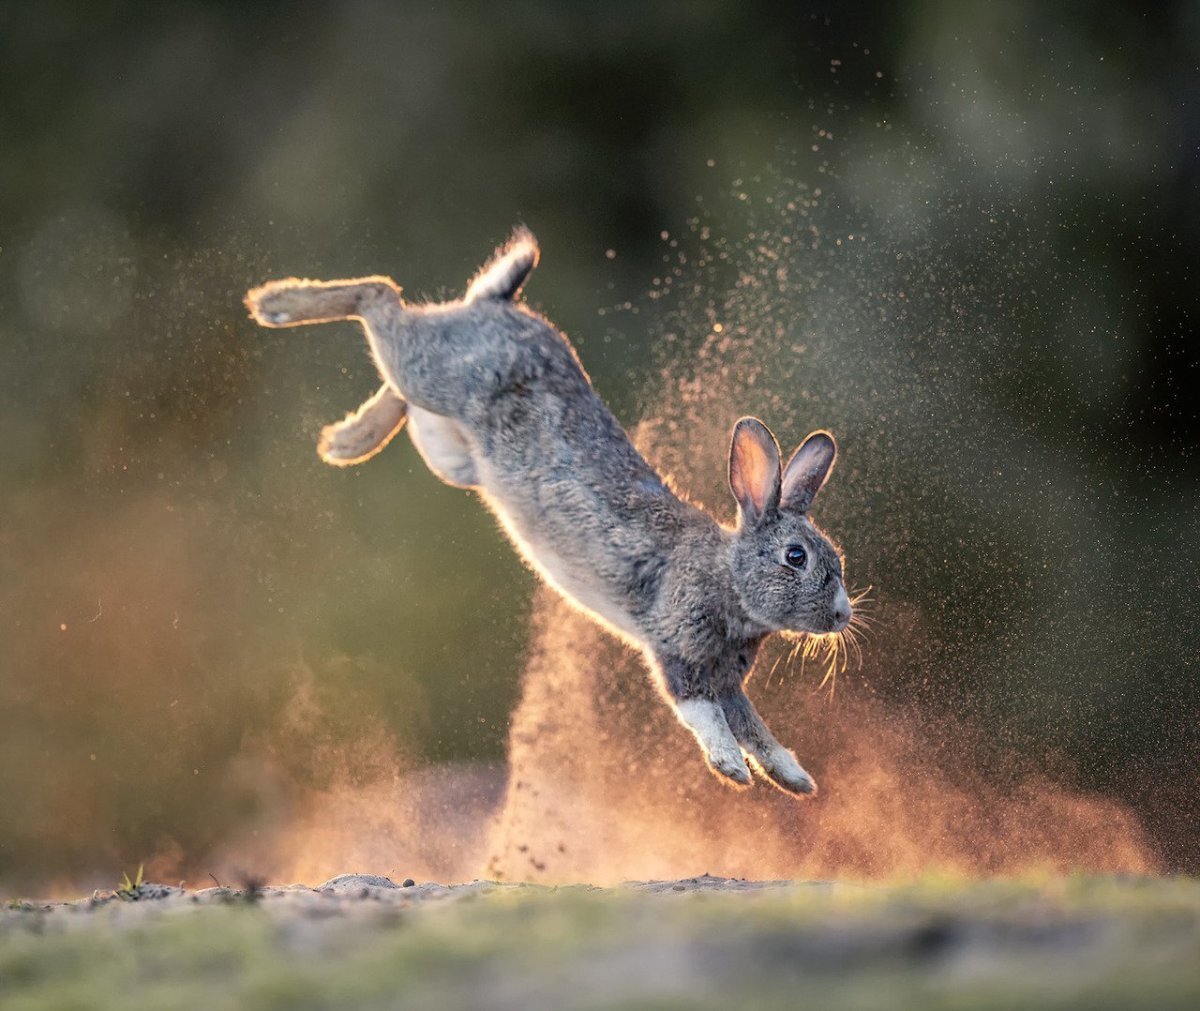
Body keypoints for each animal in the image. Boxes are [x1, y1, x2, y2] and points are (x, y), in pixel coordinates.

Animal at [243, 228, 849, 797]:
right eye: (796, 557)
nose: (843, 615)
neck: (728, 577)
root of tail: (500, 305)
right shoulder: (678, 651)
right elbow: (706, 716)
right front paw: (732, 770)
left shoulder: (727, 681)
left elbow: (756, 730)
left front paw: (795, 780)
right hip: (432, 373)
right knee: (380, 298)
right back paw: (274, 306)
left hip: (452, 450)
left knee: (400, 382)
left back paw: (345, 441)